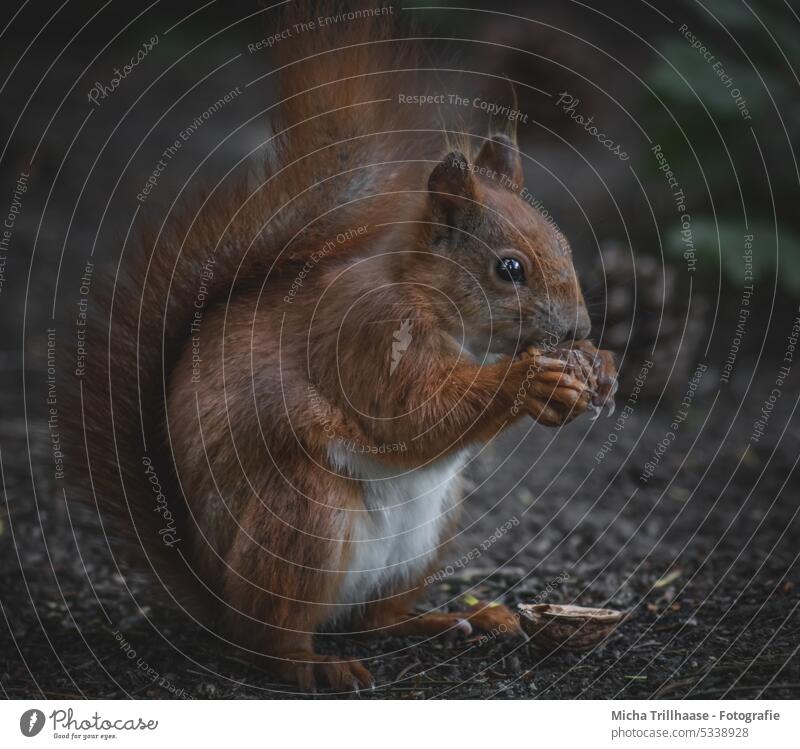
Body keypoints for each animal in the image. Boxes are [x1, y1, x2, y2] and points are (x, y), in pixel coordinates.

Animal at [62, 2, 620, 688]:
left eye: (565, 244)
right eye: (509, 269)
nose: (575, 332)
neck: (439, 310)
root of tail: (212, 588)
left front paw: (599, 368)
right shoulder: (369, 335)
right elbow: (410, 414)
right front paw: (532, 380)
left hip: (426, 534)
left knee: (374, 621)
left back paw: (456, 619)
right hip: (307, 515)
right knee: (268, 636)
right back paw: (313, 664)